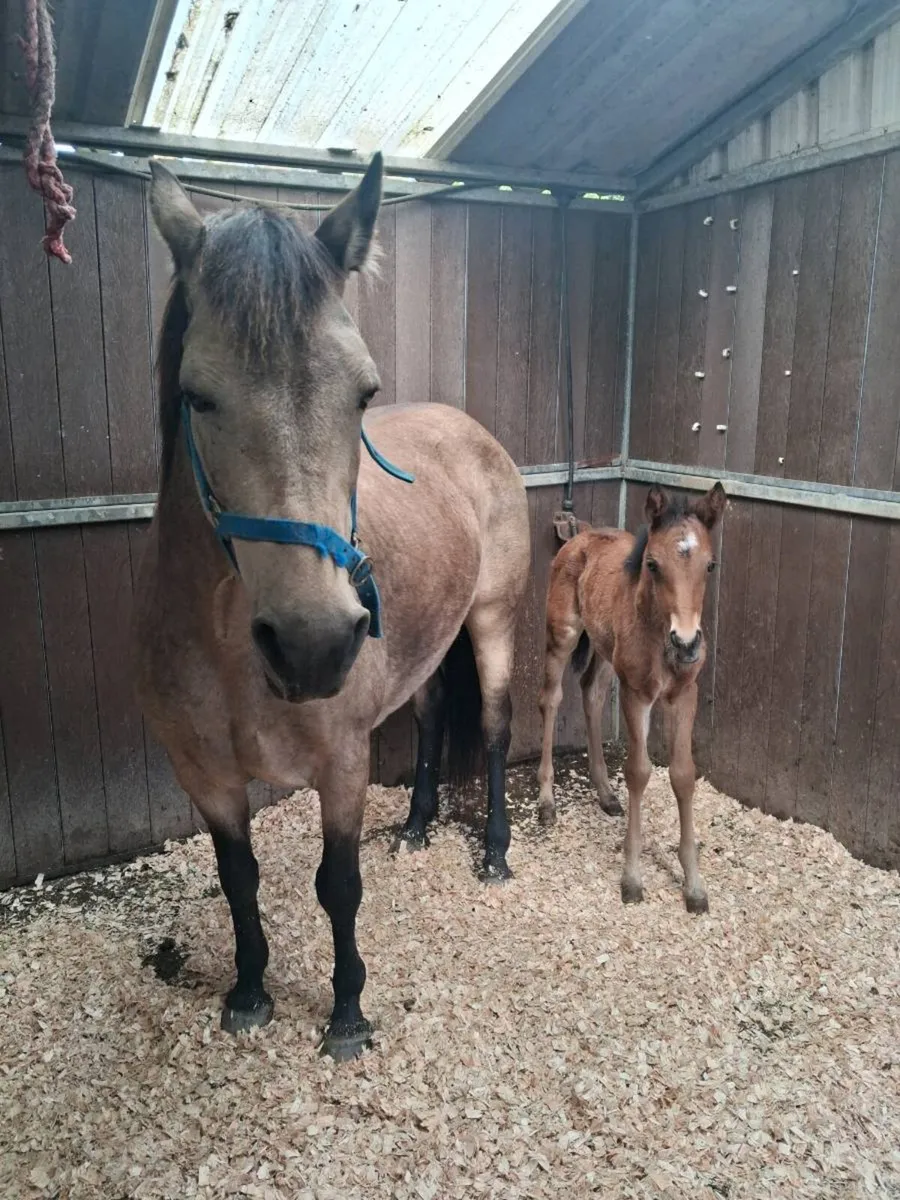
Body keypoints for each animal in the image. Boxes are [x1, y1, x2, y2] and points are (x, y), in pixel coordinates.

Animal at [133, 154, 531, 1060]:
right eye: (198, 396)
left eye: (363, 392)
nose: (312, 643)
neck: (223, 645)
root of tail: (472, 432)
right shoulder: (205, 776)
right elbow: (237, 878)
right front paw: (248, 991)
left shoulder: (342, 766)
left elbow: (338, 885)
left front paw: (348, 1011)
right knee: (432, 715)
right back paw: (417, 827)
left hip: (491, 623)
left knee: (493, 728)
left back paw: (493, 854)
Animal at [535, 482, 726, 913]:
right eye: (652, 564)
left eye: (710, 566)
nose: (686, 644)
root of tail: (580, 535)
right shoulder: (637, 694)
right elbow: (639, 772)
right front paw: (633, 879)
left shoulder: (684, 694)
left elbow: (683, 774)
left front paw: (694, 887)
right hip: (562, 634)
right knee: (551, 699)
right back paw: (547, 801)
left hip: (607, 652)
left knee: (591, 693)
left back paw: (606, 794)